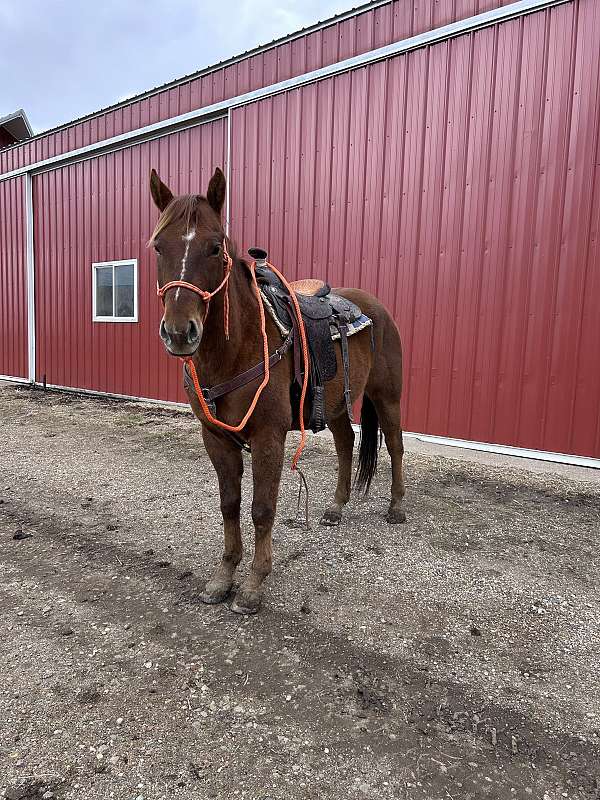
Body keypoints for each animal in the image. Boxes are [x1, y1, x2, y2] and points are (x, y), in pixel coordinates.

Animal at [149, 166, 405, 614]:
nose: (180, 333)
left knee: (394, 444)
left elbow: (262, 508)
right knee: (346, 444)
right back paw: (336, 507)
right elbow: (230, 504)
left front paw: (253, 585)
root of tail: (374, 307)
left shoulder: (268, 436)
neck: (238, 349)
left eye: (215, 248)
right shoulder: (217, 438)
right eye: (159, 247)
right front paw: (223, 578)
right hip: (334, 406)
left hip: (387, 396)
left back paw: (396, 506)